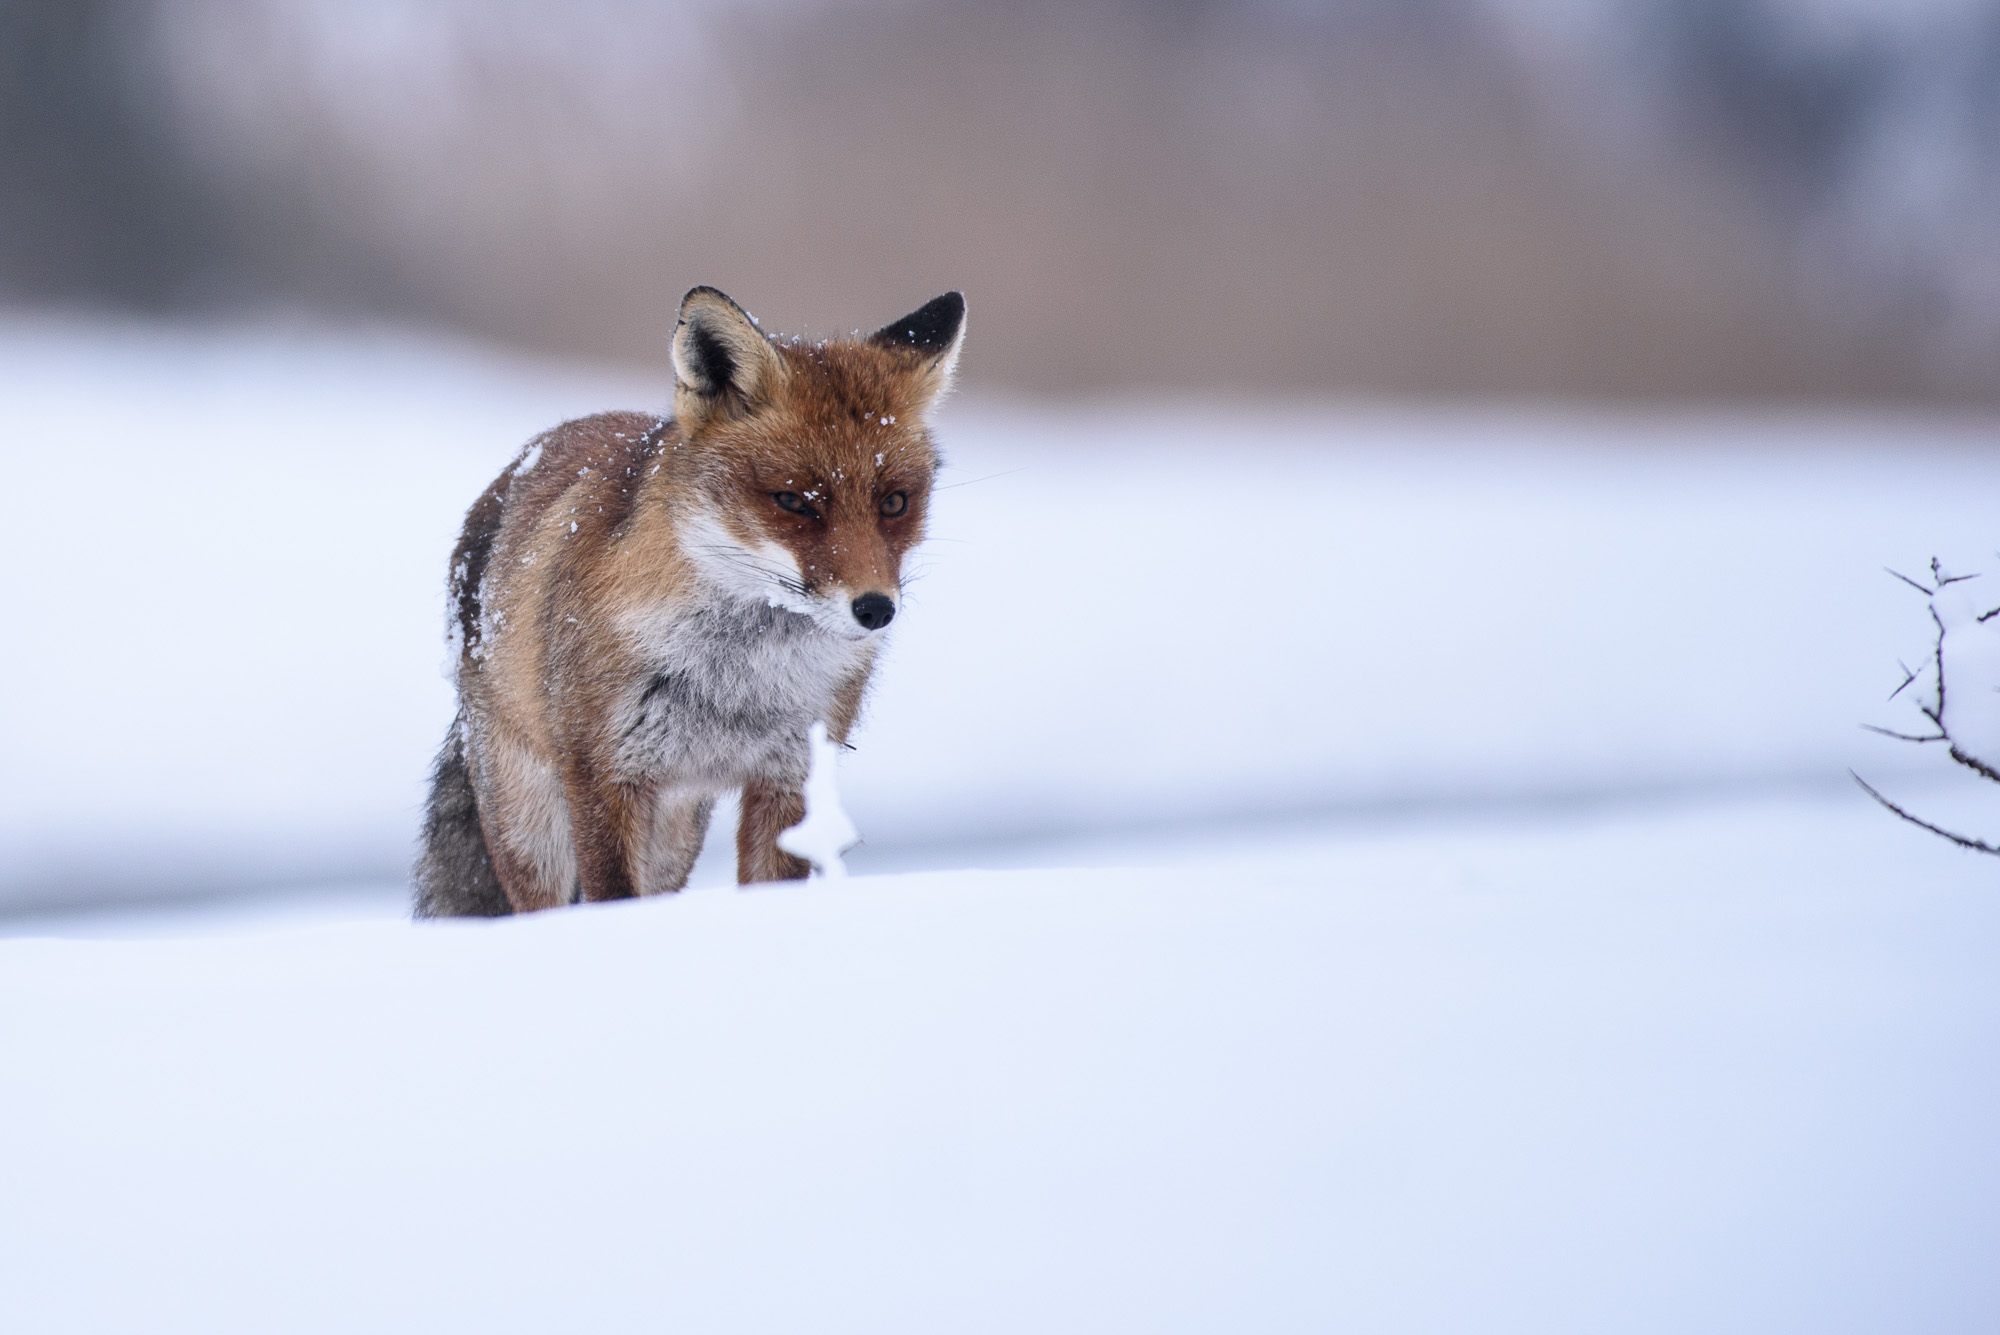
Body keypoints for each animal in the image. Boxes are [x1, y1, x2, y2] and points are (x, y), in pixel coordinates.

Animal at [414, 286, 965, 916]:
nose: (875, 609)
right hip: (532, 825)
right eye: (794, 502)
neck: (737, 678)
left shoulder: (788, 775)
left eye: (895, 502)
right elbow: (612, 897)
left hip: (673, 835)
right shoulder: (603, 775)